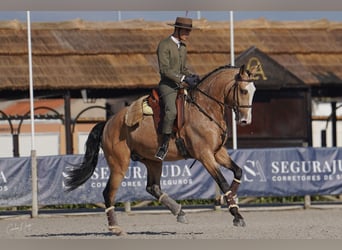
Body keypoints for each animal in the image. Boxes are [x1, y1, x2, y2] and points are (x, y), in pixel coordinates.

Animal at [65, 63, 256, 235]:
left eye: (253, 91)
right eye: (243, 91)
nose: (245, 120)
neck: (205, 108)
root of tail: (108, 123)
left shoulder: (218, 152)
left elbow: (238, 171)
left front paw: (230, 199)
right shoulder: (205, 155)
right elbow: (222, 182)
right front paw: (236, 213)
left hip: (153, 161)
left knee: (153, 187)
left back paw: (179, 211)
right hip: (119, 165)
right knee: (108, 193)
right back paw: (115, 228)